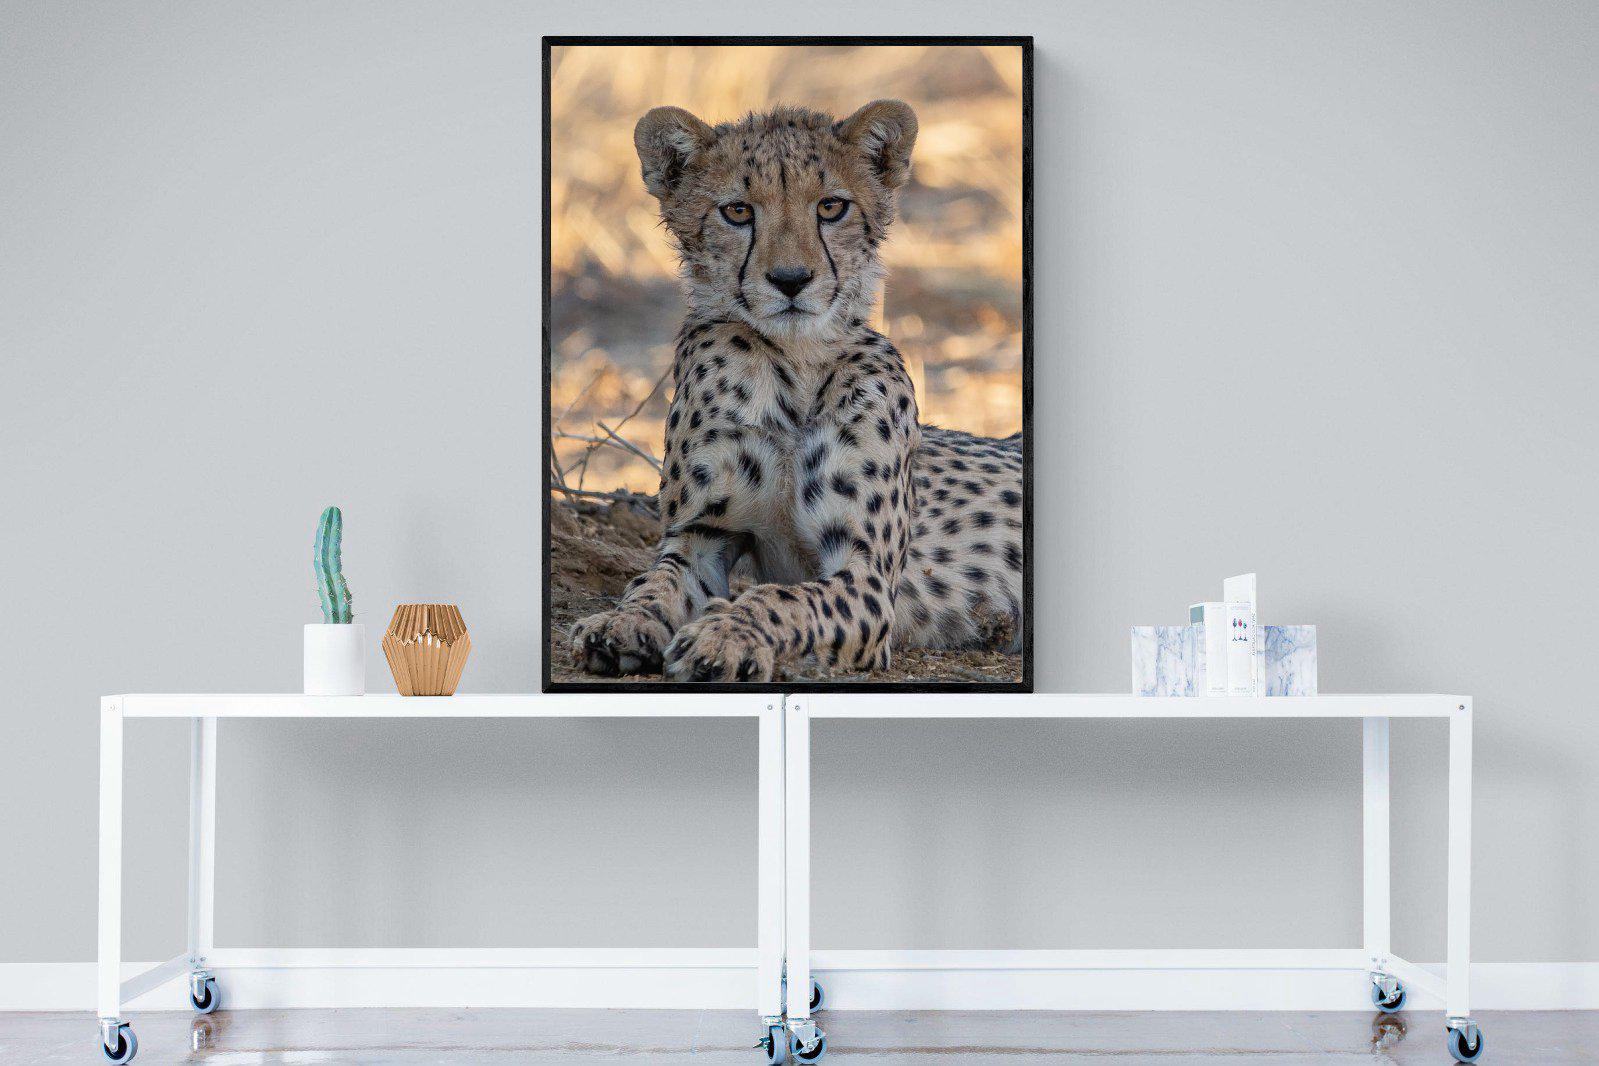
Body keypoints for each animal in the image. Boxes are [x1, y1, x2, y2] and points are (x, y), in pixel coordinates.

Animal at [569, 99, 1024, 683]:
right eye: (738, 211)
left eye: (831, 206)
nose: (791, 279)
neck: (795, 365)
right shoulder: (701, 536)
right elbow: (655, 582)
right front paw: (620, 622)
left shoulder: (867, 575)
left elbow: (783, 599)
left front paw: (725, 635)